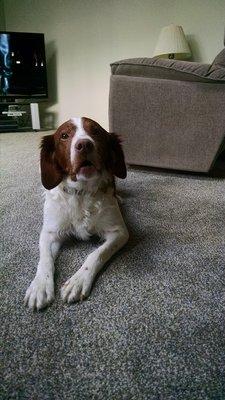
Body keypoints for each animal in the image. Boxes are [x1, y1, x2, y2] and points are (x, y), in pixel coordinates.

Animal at [24, 115, 128, 310]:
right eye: (64, 135)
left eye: (96, 131)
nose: (84, 145)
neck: (82, 192)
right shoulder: (49, 232)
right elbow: (45, 259)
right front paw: (40, 286)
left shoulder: (119, 232)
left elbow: (96, 254)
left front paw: (78, 281)